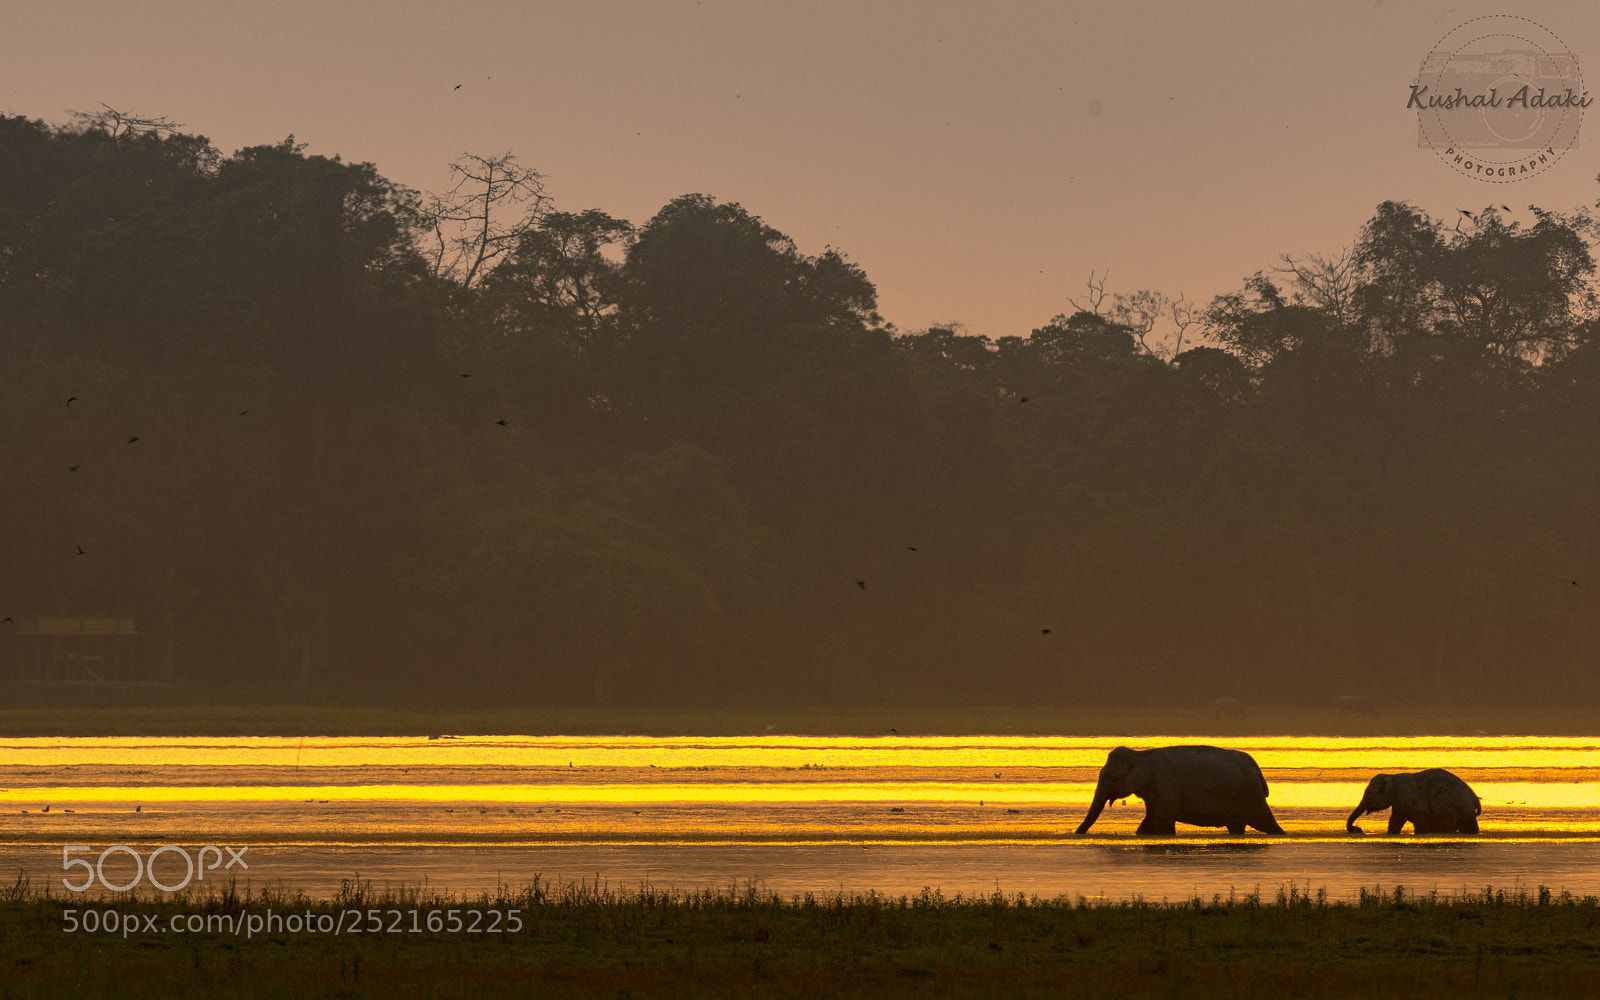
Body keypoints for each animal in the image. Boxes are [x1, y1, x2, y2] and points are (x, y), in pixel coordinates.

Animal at [1074, 745, 1284, 836]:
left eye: (1108, 776)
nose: (1077, 833)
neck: (1142, 754)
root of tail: (1257, 770)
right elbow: (1151, 818)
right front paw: (1140, 835)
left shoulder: (1165, 783)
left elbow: (1164, 818)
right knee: (1236, 826)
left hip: (1250, 793)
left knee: (1265, 821)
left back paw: (1280, 834)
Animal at [1346, 769, 1481, 834]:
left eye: (1368, 794)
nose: (1358, 829)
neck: (1392, 776)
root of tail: (1475, 797)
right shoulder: (1399, 803)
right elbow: (1395, 821)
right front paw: (1391, 834)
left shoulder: (1412, 799)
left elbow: (1421, 823)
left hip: (1456, 808)